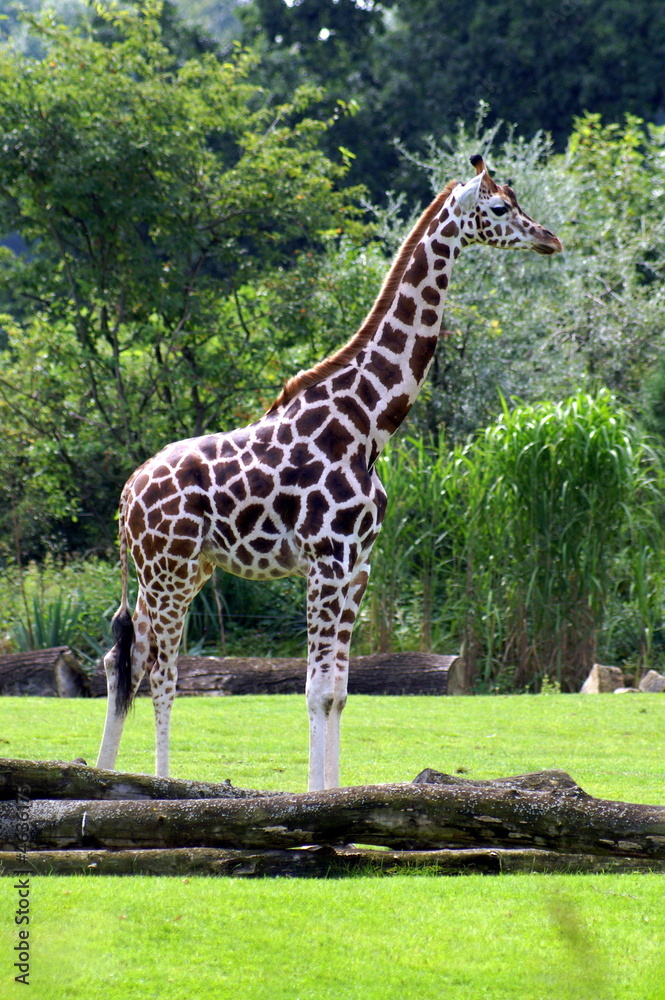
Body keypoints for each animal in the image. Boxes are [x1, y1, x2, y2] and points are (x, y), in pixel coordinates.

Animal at [96, 155, 562, 790]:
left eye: (518, 202)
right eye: (497, 207)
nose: (549, 239)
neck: (368, 423)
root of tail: (126, 495)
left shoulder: (358, 565)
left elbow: (340, 691)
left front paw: (335, 794)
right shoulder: (327, 560)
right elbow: (315, 690)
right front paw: (316, 796)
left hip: (178, 573)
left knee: (124, 661)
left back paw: (103, 778)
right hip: (170, 571)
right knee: (163, 674)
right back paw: (164, 784)